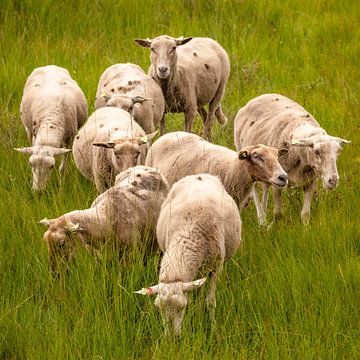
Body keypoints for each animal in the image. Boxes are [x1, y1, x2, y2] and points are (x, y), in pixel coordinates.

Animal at [40, 165, 169, 272]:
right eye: (46, 242)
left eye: (61, 243)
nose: (55, 272)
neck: (105, 221)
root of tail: (144, 167)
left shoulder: (130, 254)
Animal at [135, 173, 242, 336]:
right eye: (159, 308)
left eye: (182, 307)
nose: (171, 338)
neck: (189, 232)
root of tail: (199, 175)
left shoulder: (216, 268)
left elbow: (210, 302)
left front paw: (212, 328)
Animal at [233, 93, 348, 225]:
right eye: (317, 152)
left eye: (338, 152)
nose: (333, 181)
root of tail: (262, 95)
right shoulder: (278, 182)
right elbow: (278, 214)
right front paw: (274, 226)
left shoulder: (310, 182)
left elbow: (305, 213)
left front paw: (306, 229)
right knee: (255, 191)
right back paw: (262, 220)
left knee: (265, 188)